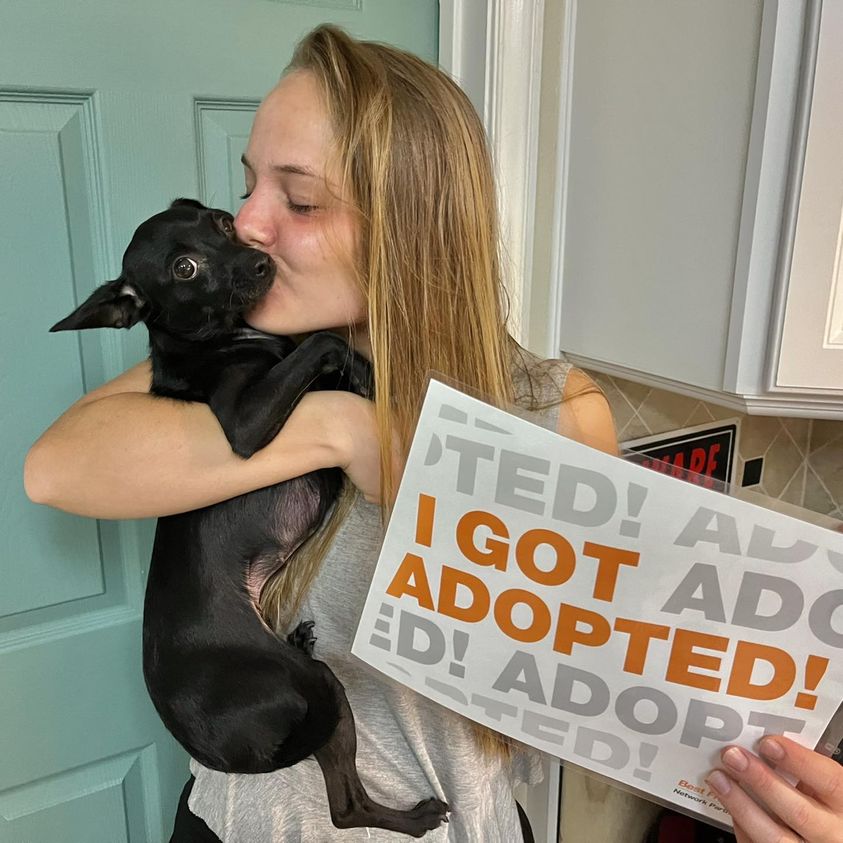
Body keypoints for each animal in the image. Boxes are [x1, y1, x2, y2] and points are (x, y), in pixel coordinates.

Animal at [51, 199, 448, 836]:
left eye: (221, 223)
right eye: (184, 268)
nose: (261, 262)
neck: (223, 337)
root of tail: (208, 745)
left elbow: (321, 348)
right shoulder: (244, 421)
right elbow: (322, 340)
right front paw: (364, 372)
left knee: (344, 803)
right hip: (320, 690)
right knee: (345, 809)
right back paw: (414, 819)